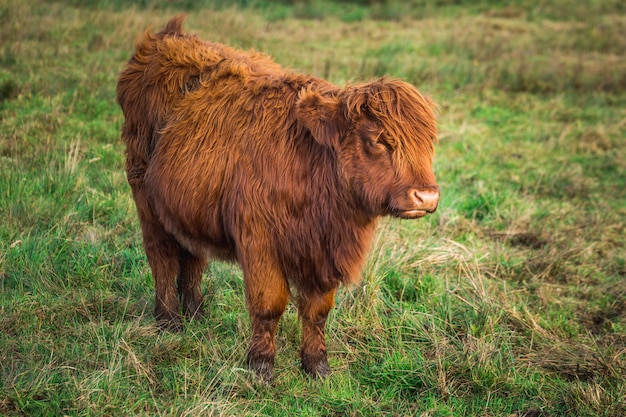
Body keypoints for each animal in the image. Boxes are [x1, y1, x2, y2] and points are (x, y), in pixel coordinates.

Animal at [118, 16, 438, 380]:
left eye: (429, 142)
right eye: (379, 140)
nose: (426, 196)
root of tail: (165, 38)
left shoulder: (321, 255)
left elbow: (317, 311)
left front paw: (316, 365)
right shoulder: (259, 243)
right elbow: (268, 305)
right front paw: (261, 366)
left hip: (188, 205)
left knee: (193, 258)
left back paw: (197, 314)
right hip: (145, 197)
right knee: (161, 257)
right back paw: (169, 320)